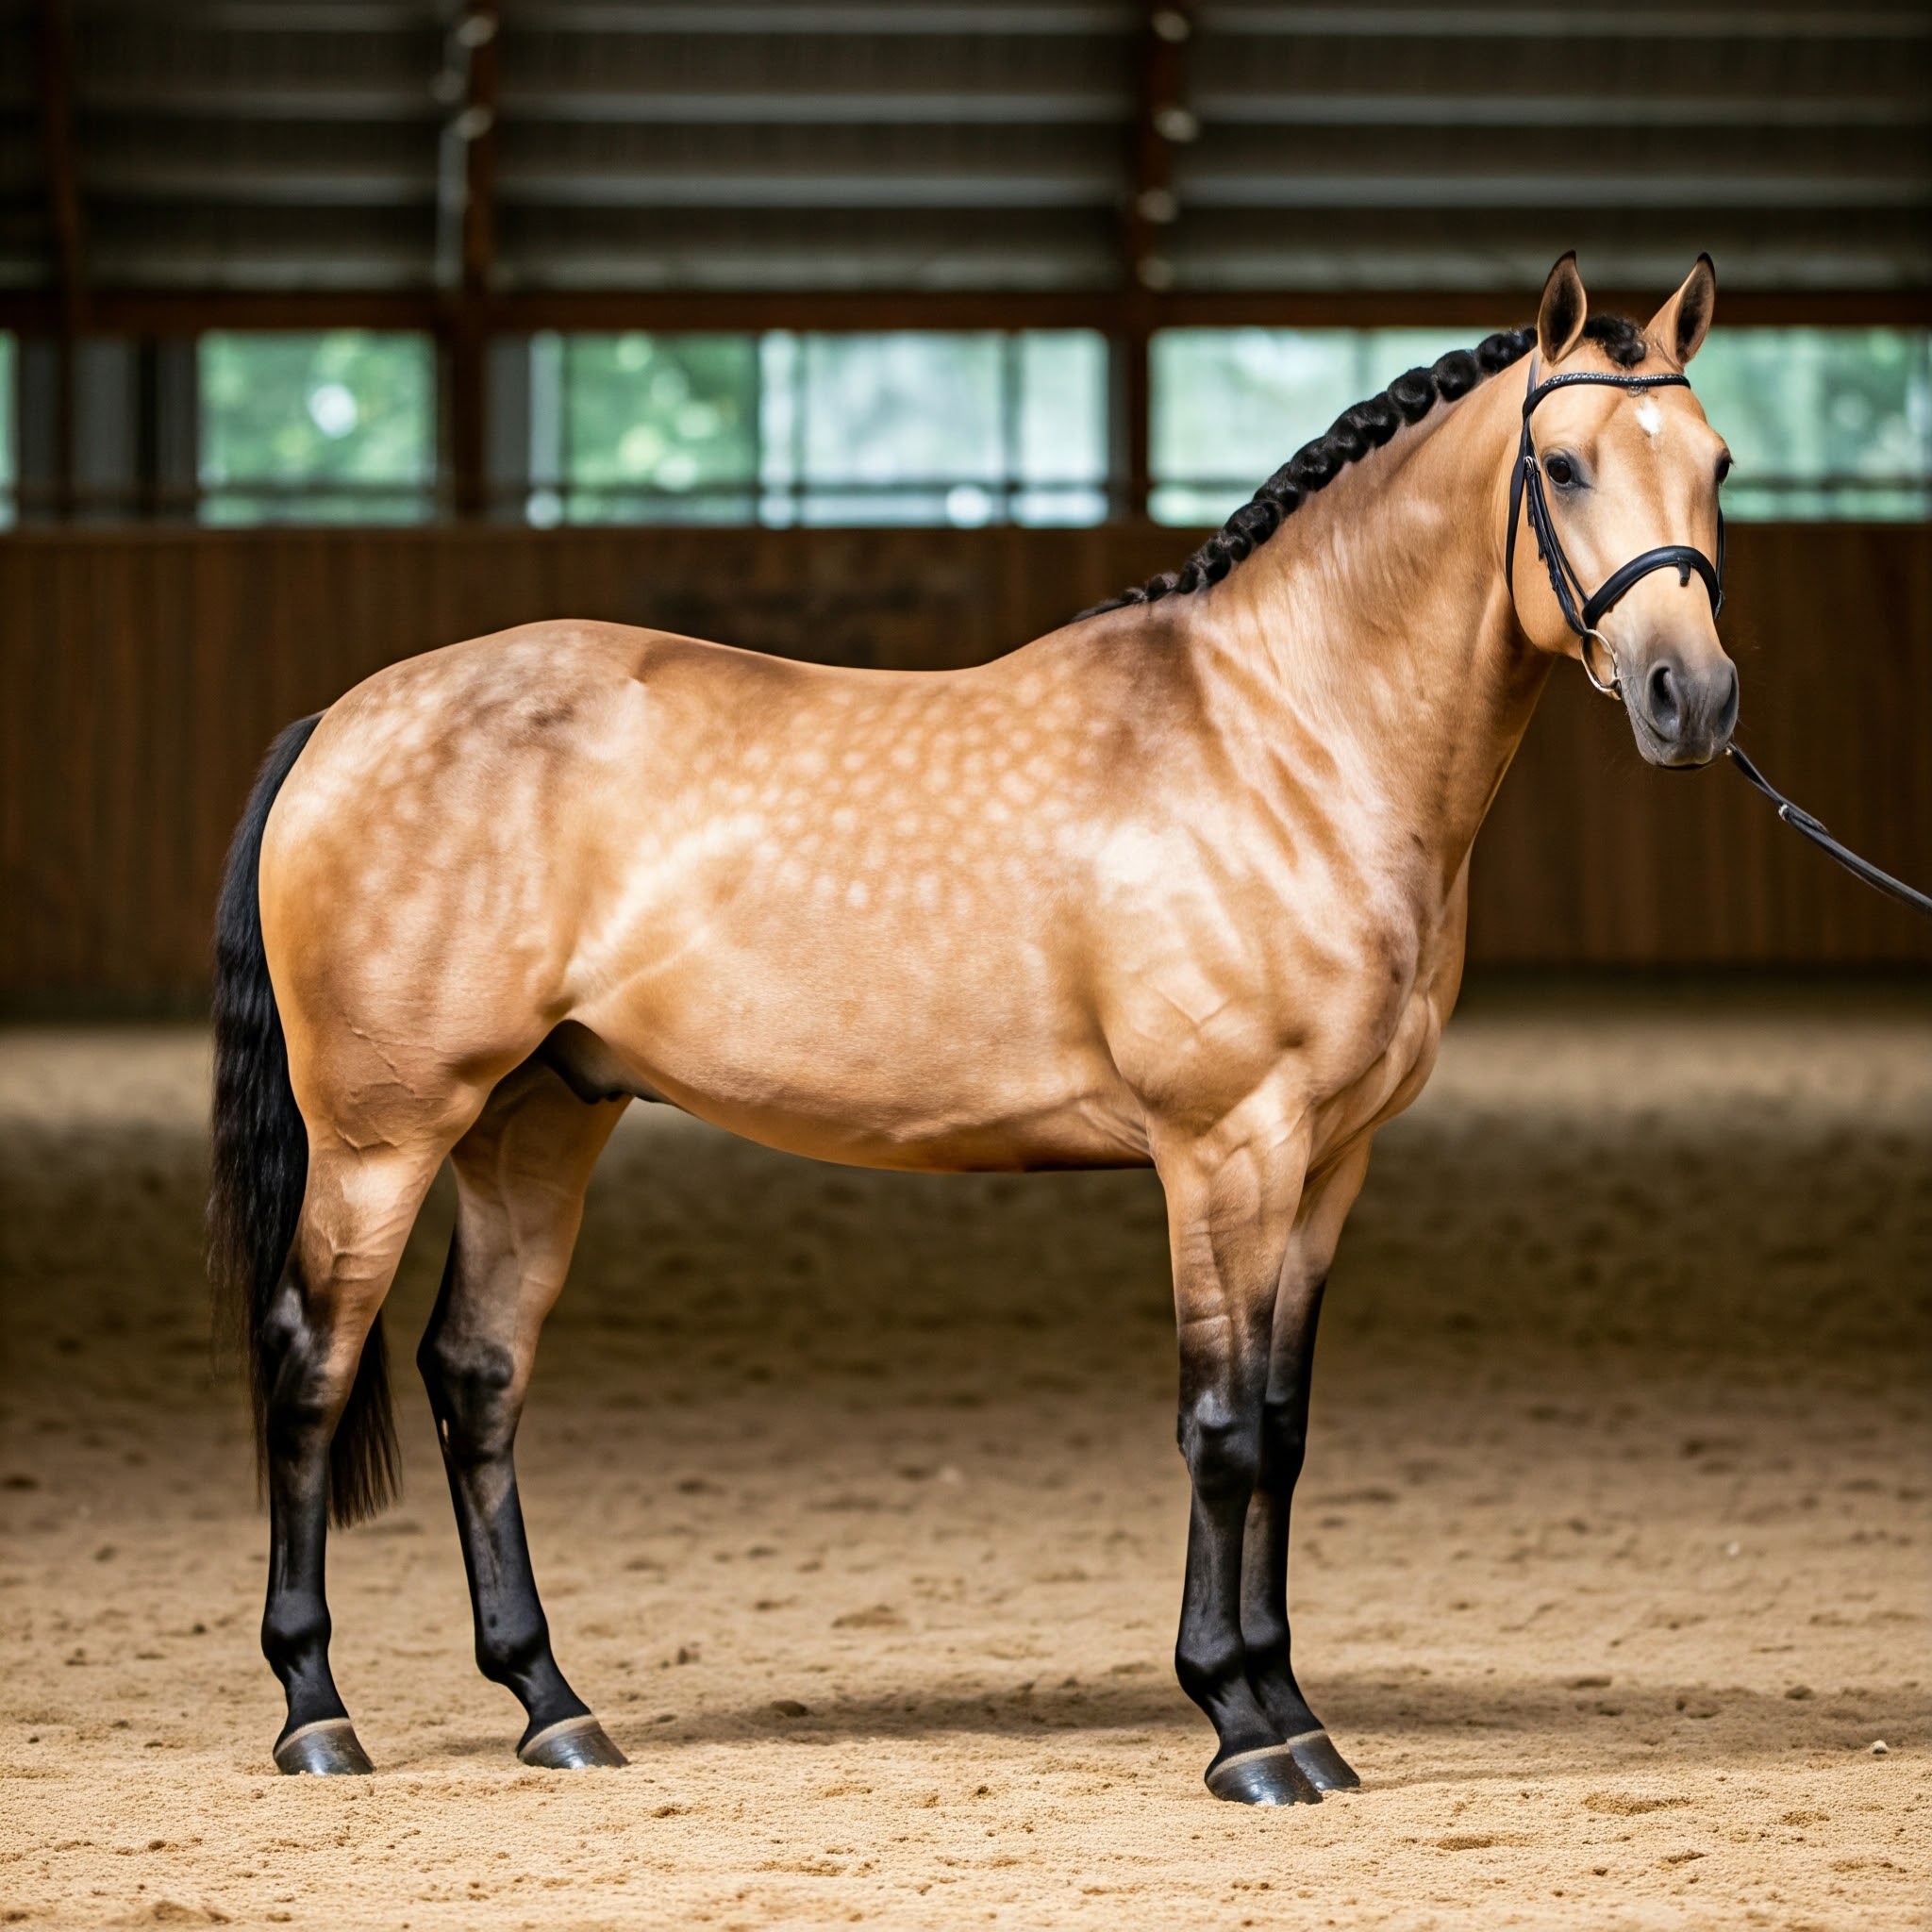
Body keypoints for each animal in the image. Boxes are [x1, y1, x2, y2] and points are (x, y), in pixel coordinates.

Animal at [211, 253, 1739, 1792]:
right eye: (1563, 463)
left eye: (1717, 464)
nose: (1694, 698)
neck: (1283, 738)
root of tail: (341, 718)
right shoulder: (1223, 1151)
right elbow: (1220, 1428)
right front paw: (1239, 1724)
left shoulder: (1329, 1165)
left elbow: (1283, 1430)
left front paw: (1300, 1719)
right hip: (384, 1137)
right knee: (308, 1363)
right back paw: (315, 1711)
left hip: (535, 1124)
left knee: (477, 1375)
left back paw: (552, 1704)